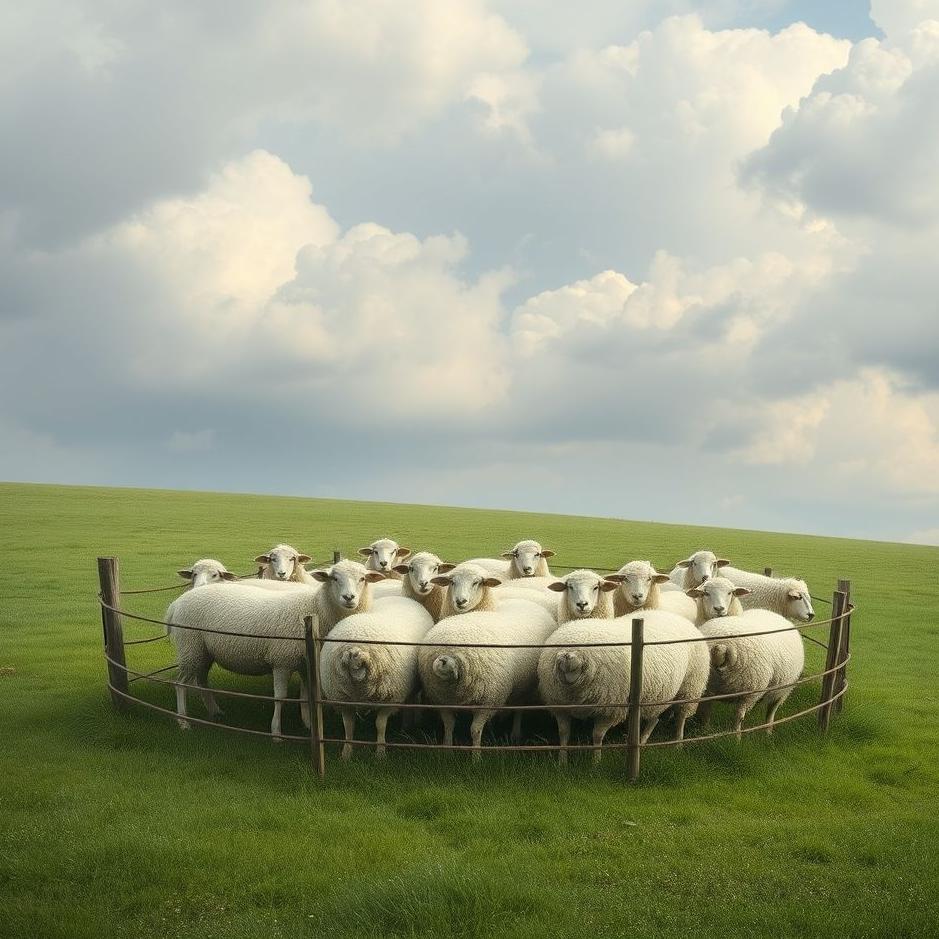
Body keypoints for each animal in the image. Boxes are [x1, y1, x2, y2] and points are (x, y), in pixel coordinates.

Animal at [166, 560, 384, 738]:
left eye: (363, 578)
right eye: (334, 578)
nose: (349, 597)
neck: (314, 608)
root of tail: (176, 603)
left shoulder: (304, 661)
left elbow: (307, 695)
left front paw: (308, 725)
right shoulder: (282, 661)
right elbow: (280, 698)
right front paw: (276, 732)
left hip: (201, 651)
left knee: (201, 679)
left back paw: (214, 711)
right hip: (189, 646)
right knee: (180, 684)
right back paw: (183, 721)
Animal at [319, 596, 434, 760]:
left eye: (359, 662)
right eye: (349, 662)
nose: (357, 675)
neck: (359, 690)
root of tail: (402, 597)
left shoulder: (389, 700)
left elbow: (380, 725)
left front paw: (380, 752)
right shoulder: (344, 701)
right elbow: (348, 726)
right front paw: (346, 752)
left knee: (413, 699)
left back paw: (411, 723)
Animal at [417, 598, 557, 759]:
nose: (443, 663)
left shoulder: (487, 702)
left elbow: (475, 730)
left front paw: (476, 757)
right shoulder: (442, 701)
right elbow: (448, 725)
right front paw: (447, 751)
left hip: (524, 686)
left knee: (519, 709)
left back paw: (515, 734)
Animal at [537, 609, 700, 764]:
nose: (567, 672)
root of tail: (680, 618)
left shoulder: (610, 709)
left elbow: (597, 736)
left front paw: (596, 762)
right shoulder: (560, 706)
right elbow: (563, 733)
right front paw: (562, 760)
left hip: (690, 688)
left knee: (681, 717)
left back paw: (678, 743)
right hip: (656, 696)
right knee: (654, 718)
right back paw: (642, 741)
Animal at [698, 609, 806, 739]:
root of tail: (721, 647)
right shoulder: (782, 691)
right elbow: (771, 711)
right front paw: (768, 731)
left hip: (709, 686)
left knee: (706, 710)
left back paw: (705, 730)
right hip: (750, 688)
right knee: (739, 716)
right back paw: (737, 738)